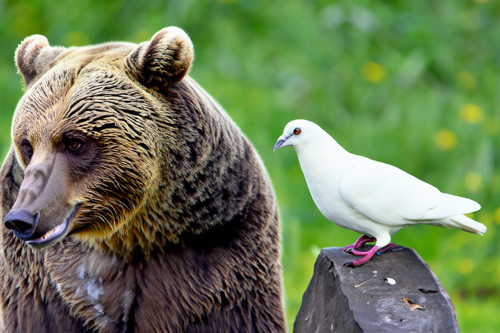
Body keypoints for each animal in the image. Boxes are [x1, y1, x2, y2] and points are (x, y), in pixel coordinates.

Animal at [0, 26, 286, 332]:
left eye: (74, 142)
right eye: (27, 144)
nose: (22, 218)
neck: (134, 235)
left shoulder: (220, 255)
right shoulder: (44, 284)